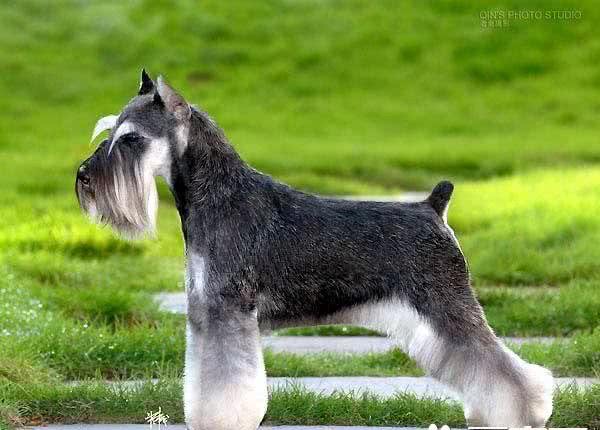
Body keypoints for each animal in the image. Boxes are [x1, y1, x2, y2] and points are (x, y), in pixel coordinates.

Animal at [77, 69, 556, 428]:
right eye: (109, 132)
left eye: (131, 139)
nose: (83, 177)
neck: (219, 196)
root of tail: (432, 207)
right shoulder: (207, 311)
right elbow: (204, 376)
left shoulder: (226, 311)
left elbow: (225, 383)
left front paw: (220, 421)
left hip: (446, 304)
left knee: (503, 368)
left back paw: (526, 411)